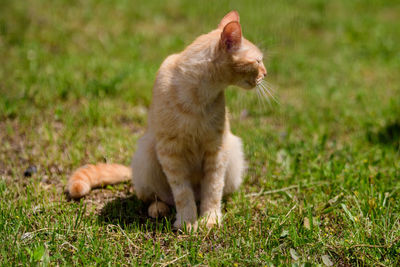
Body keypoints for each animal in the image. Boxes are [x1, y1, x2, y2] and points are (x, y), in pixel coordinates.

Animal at [68, 11, 268, 230]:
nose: (266, 73)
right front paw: (188, 222)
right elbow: (182, 193)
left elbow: (213, 189)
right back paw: (159, 209)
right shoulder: (170, 151)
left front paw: (210, 219)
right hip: (146, 154)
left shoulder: (216, 149)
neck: (199, 95)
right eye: (258, 61)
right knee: (159, 197)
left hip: (233, 151)